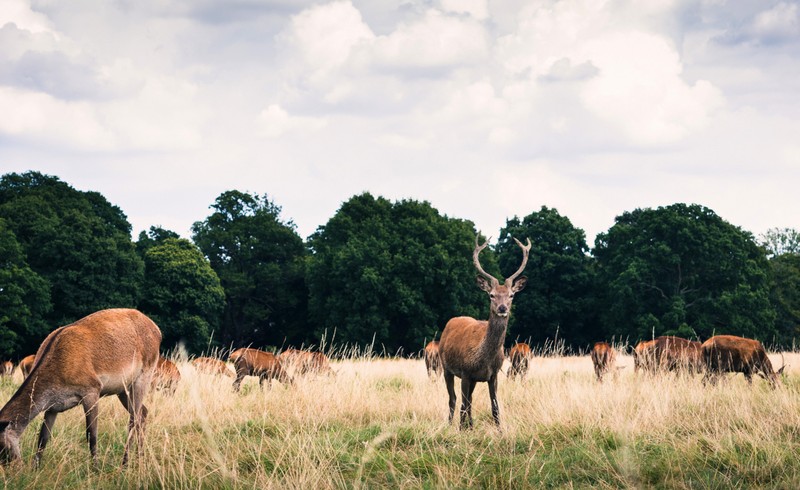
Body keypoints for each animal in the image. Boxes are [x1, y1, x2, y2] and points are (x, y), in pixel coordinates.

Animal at [0, 308, 161, 466]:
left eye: (2, 449)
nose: (15, 467)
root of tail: (158, 330)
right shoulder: (53, 407)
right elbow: (43, 438)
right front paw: (36, 468)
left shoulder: (92, 389)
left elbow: (91, 434)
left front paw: (95, 468)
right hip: (123, 389)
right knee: (142, 413)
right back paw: (140, 457)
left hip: (144, 376)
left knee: (133, 419)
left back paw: (125, 463)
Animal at [438, 235, 532, 426]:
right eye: (491, 295)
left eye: (511, 295)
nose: (503, 308)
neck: (484, 360)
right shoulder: (465, 372)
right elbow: (462, 405)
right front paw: (460, 429)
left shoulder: (493, 375)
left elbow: (494, 407)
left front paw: (499, 430)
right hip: (446, 368)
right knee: (453, 399)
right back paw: (450, 424)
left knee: (469, 401)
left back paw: (470, 425)